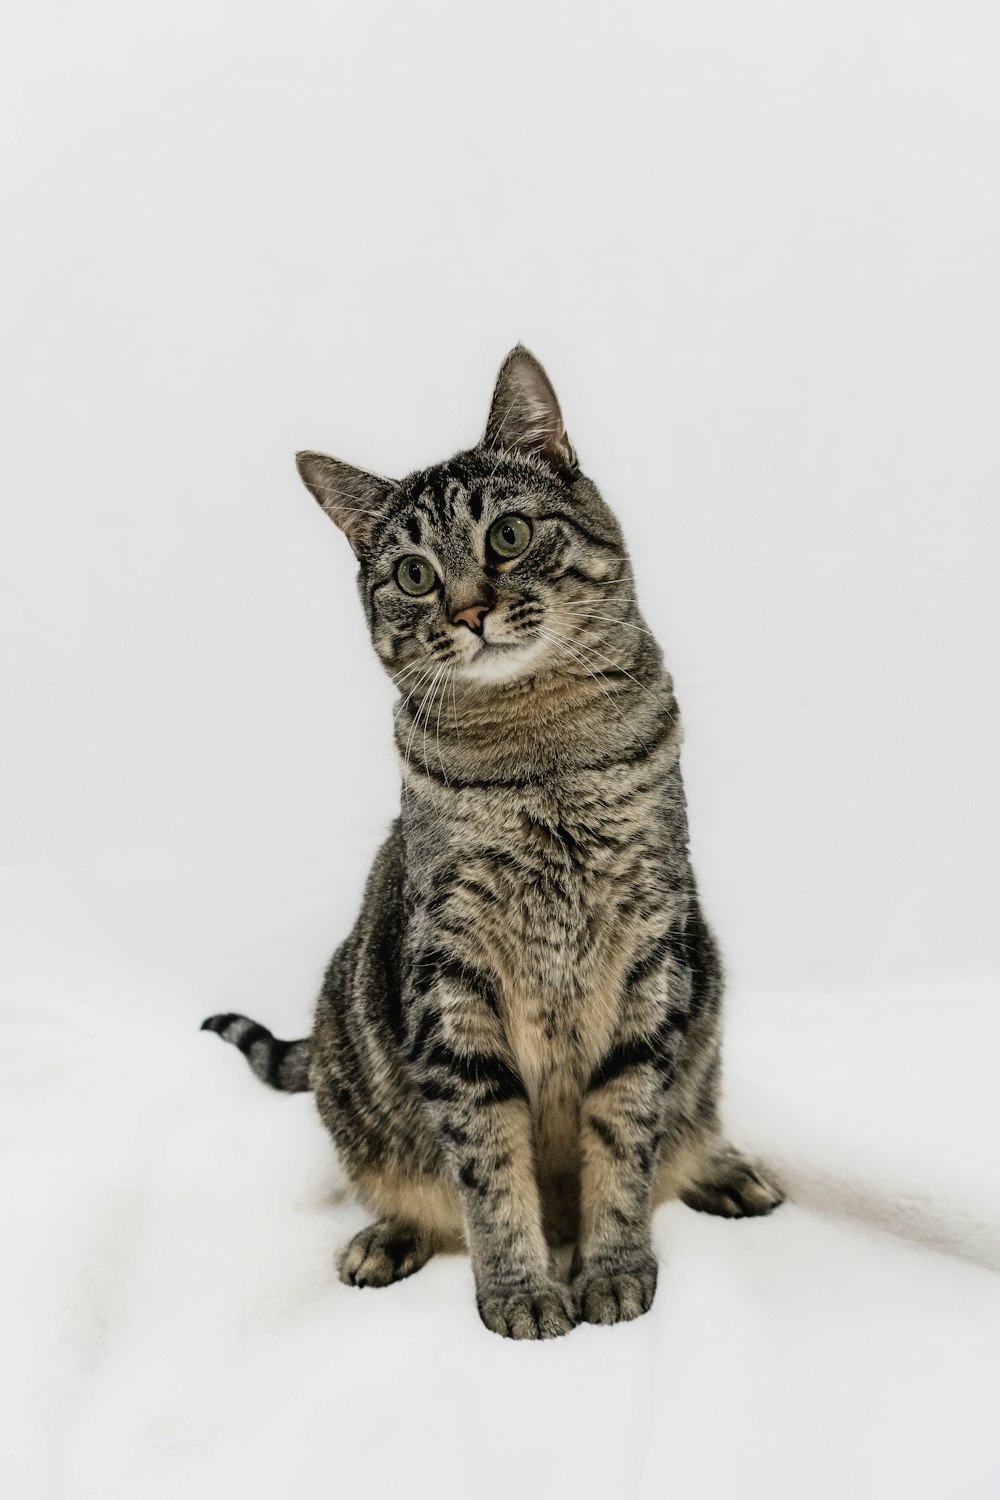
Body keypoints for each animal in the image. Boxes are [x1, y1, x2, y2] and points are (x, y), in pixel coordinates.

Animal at [203, 348, 779, 1338]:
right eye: (413, 575)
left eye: (508, 536)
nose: (470, 611)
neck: (541, 756)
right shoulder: (453, 980)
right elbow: (488, 1168)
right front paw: (521, 1291)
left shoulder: (649, 951)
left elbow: (625, 1140)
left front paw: (613, 1270)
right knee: (411, 1187)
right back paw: (384, 1240)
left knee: (686, 1127)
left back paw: (725, 1171)